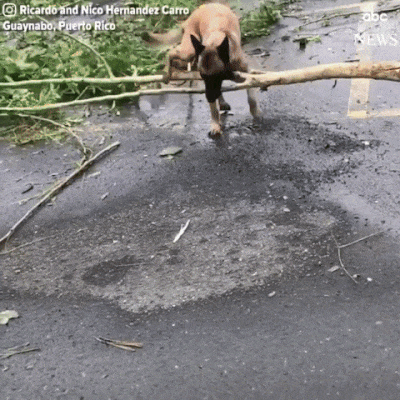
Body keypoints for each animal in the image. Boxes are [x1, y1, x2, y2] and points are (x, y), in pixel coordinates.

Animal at [167, 1, 260, 136]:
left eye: (217, 76)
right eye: (203, 76)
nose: (209, 97)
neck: (216, 42)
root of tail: (208, 4)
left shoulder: (245, 72)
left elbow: (251, 96)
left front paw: (255, 112)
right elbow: (213, 109)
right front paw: (215, 124)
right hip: (188, 51)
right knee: (170, 53)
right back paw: (166, 71)